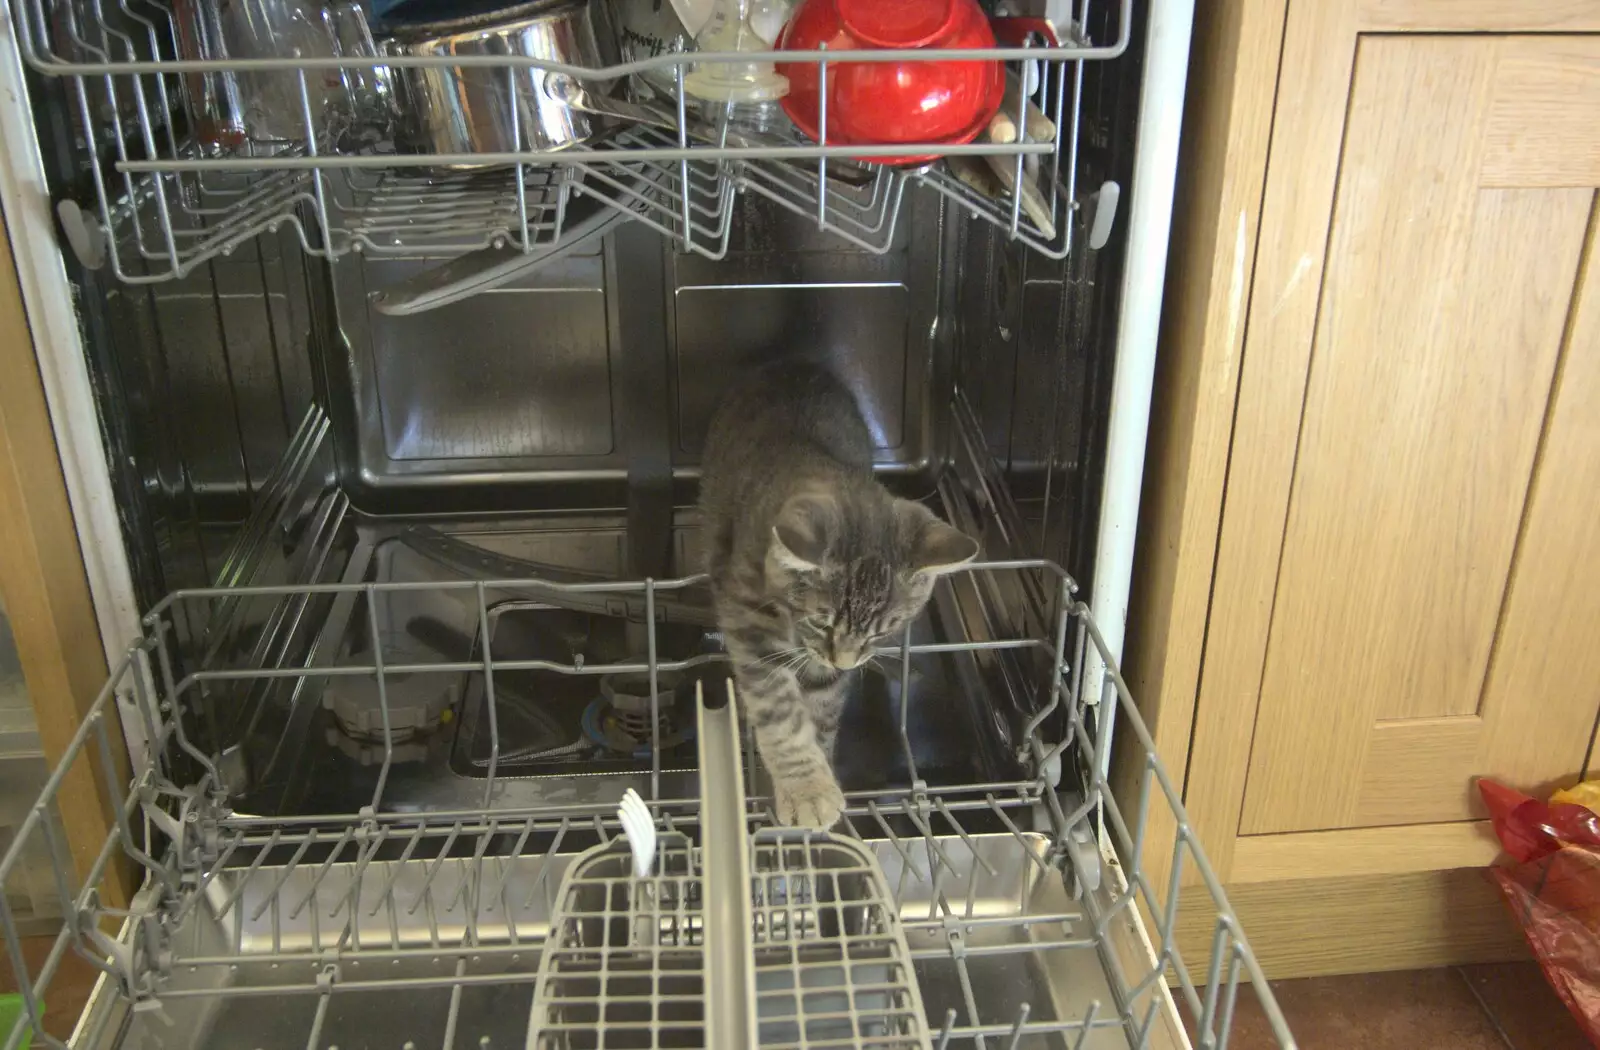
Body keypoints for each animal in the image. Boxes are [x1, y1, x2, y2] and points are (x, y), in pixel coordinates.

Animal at [704, 361, 985, 825]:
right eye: (821, 621)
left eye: (884, 630)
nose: (847, 660)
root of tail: (787, 364)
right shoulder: (747, 621)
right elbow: (780, 713)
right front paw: (806, 787)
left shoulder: (826, 671)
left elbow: (821, 706)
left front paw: (820, 764)